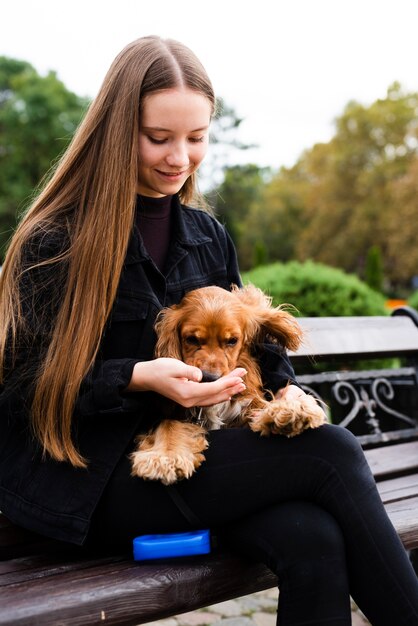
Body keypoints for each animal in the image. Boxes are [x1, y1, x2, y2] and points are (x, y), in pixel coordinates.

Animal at [129, 282, 324, 482]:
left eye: (232, 341)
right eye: (191, 339)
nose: (209, 377)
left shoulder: (245, 406)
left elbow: (262, 406)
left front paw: (290, 410)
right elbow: (168, 425)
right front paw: (165, 456)